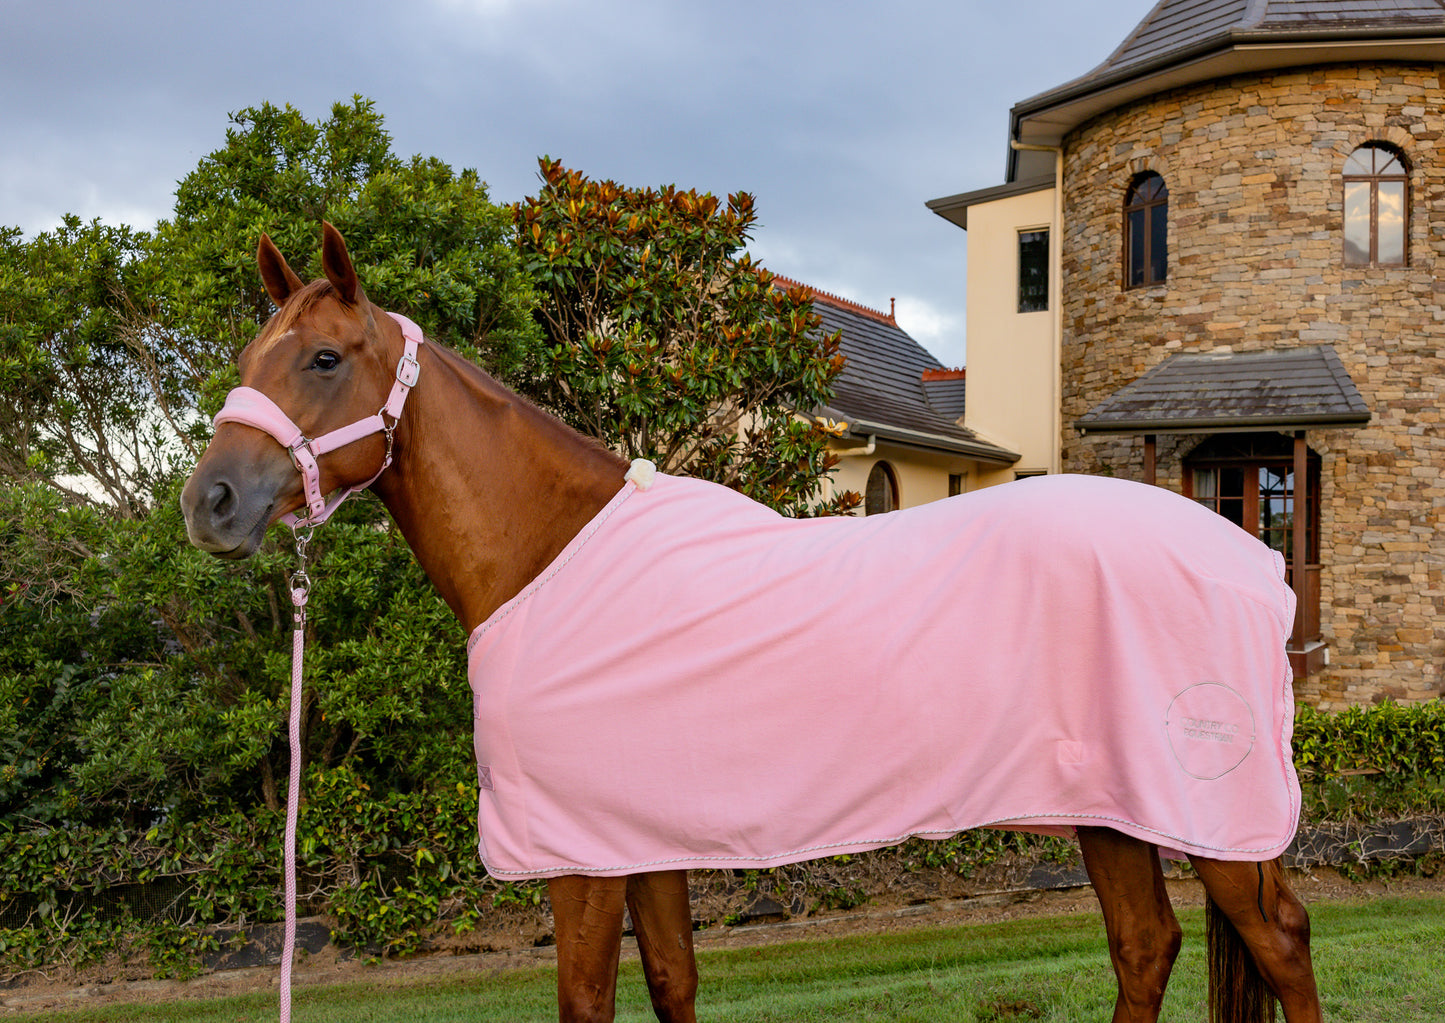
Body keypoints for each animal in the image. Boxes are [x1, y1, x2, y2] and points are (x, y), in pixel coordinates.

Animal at [180, 225, 1323, 1023]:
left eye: (324, 359)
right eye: (249, 351)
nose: (210, 503)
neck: (550, 553)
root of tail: (1257, 562)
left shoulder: (578, 860)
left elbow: (588, 998)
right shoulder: (636, 842)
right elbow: (672, 982)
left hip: (1209, 816)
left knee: (1278, 939)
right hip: (1109, 811)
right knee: (1145, 945)